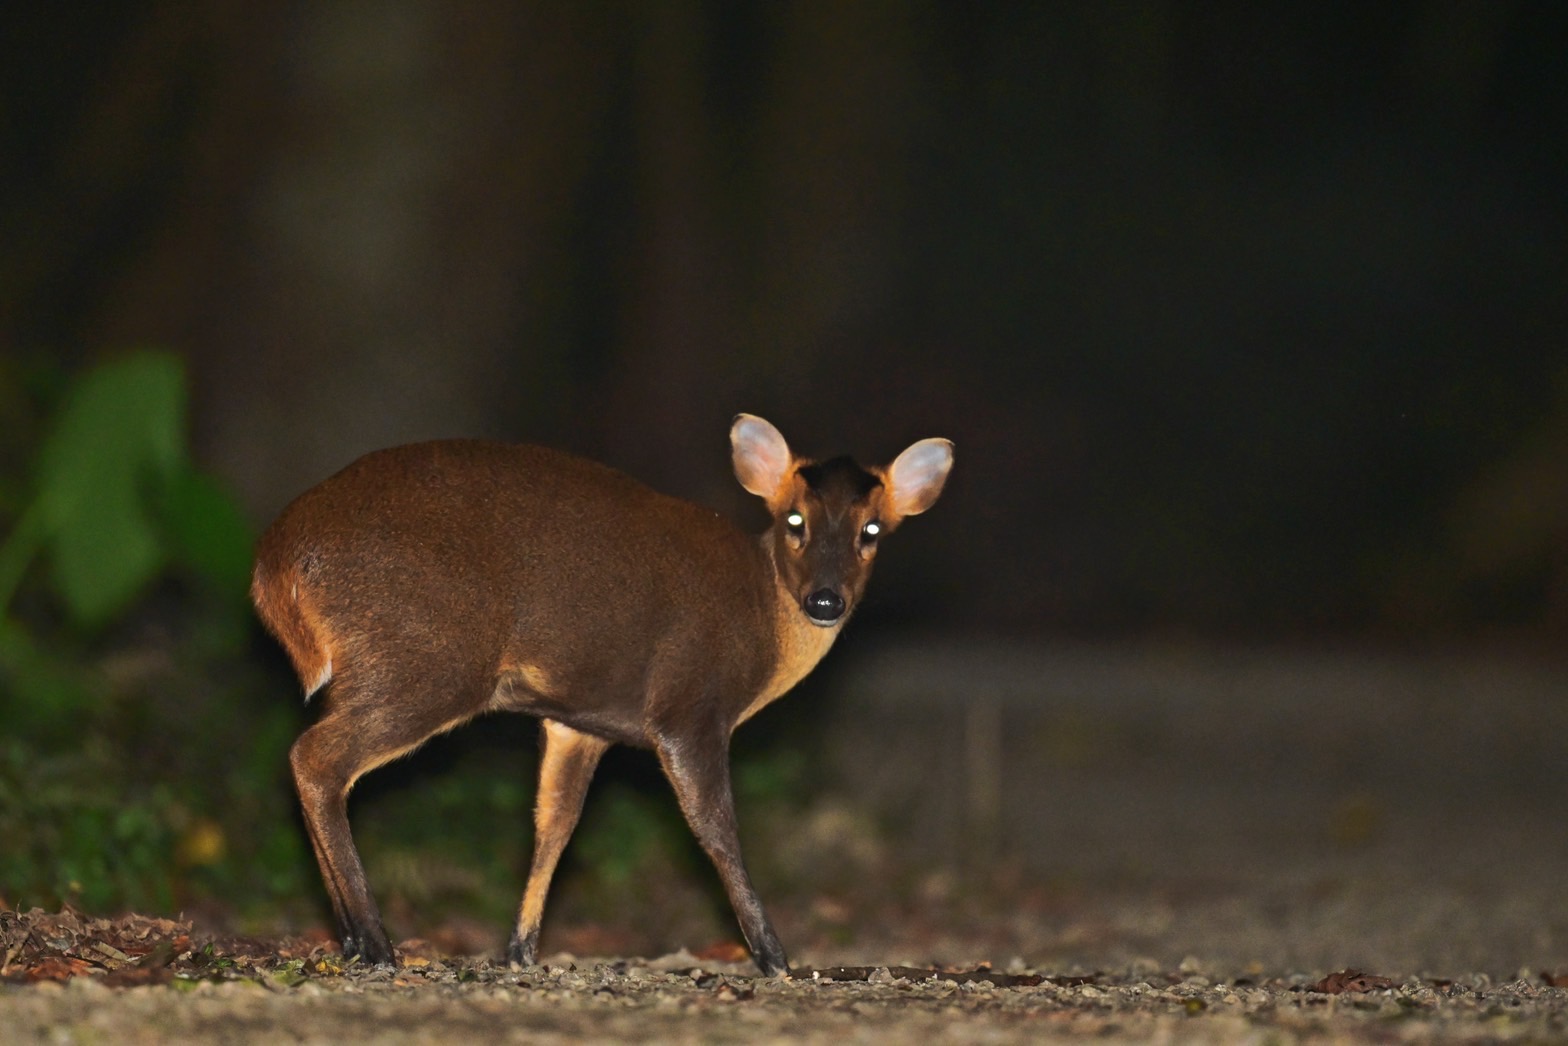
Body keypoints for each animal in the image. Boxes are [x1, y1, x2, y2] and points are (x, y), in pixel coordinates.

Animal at [250, 414, 947, 972]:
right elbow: (716, 827)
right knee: (316, 757)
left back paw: (353, 938)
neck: (764, 615)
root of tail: (274, 568)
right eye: (794, 520)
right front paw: (773, 956)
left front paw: (520, 950)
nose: (825, 601)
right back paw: (374, 942)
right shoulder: (689, 706)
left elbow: (554, 823)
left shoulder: (578, 721)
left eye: (872, 532)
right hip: (425, 657)